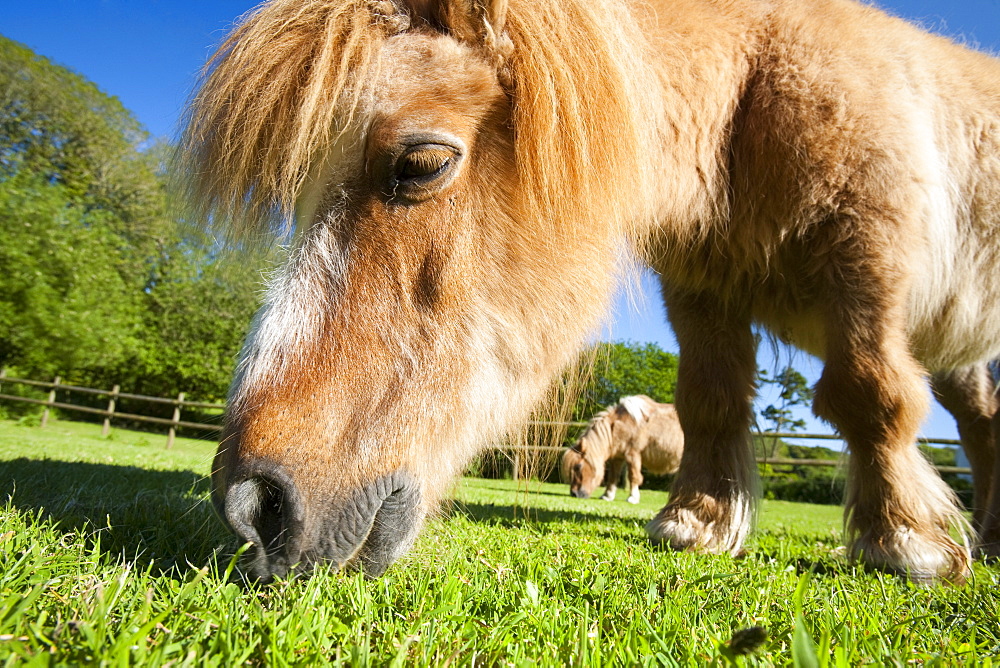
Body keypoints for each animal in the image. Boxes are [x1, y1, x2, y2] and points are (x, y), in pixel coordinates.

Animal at [184, 0, 1000, 584]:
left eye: (421, 164)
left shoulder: (869, 260)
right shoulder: (702, 292)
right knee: (983, 423)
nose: (251, 507)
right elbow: (711, 400)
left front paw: (905, 543)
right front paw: (699, 523)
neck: (757, 88)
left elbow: (870, 393)